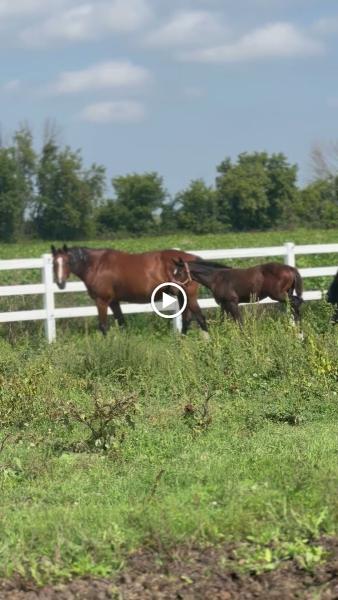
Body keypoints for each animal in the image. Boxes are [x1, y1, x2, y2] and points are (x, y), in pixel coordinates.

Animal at [51, 246, 207, 336]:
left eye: (67, 262)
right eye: (54, 263)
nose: (60, 283)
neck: (97, 265)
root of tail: (192, 258)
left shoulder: (102, 301)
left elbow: (103, 326)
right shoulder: (113, 302)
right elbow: (122, 323)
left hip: (189, 296)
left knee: (200, 318)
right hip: (182, 296)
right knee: (187, 319)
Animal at [174, 258, 304, 324]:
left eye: (179, 272)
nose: (173, 289)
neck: (217, 278)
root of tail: (290, 269)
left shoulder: (232, 302)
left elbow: (239, 322)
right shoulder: (224, 304)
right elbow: (223, 321)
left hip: (278, 295)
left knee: (296, 303)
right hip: (287, 293)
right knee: (295, 305)